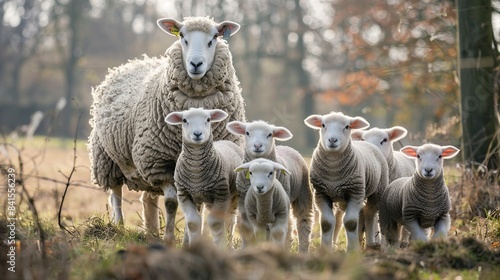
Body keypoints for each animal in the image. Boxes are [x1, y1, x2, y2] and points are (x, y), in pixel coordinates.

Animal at [163, 107, 243, 247]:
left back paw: (229, 244)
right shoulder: (184, 194)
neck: (196, 173)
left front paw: (221, 247)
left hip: (233, 196)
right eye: (184, 120)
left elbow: (215, 223)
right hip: (202, 198)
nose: (197, 134)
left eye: (208, 119)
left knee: (230, 219)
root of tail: (226, 141)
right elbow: (193, 222)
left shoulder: (221, 193)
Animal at [226, 121, 312, 253]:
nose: (257, 145)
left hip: (303, 193)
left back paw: (302, 250)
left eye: (270, 134)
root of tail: (286, 147)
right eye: (247, 132)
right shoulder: (245, 205)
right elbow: (247, 227)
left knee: (303, 220)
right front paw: (246, 248)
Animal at [302, 111, 388, 252]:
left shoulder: (355, 192)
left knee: (370, 214)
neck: (333, 174)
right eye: (323, 125)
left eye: (347, 126)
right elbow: (326, 223)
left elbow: (350, 223)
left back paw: (371, 245)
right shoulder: (320, 193)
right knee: (363, 213)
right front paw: (326, 250)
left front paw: (352, 250)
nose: (332, 140)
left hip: (377, 191)